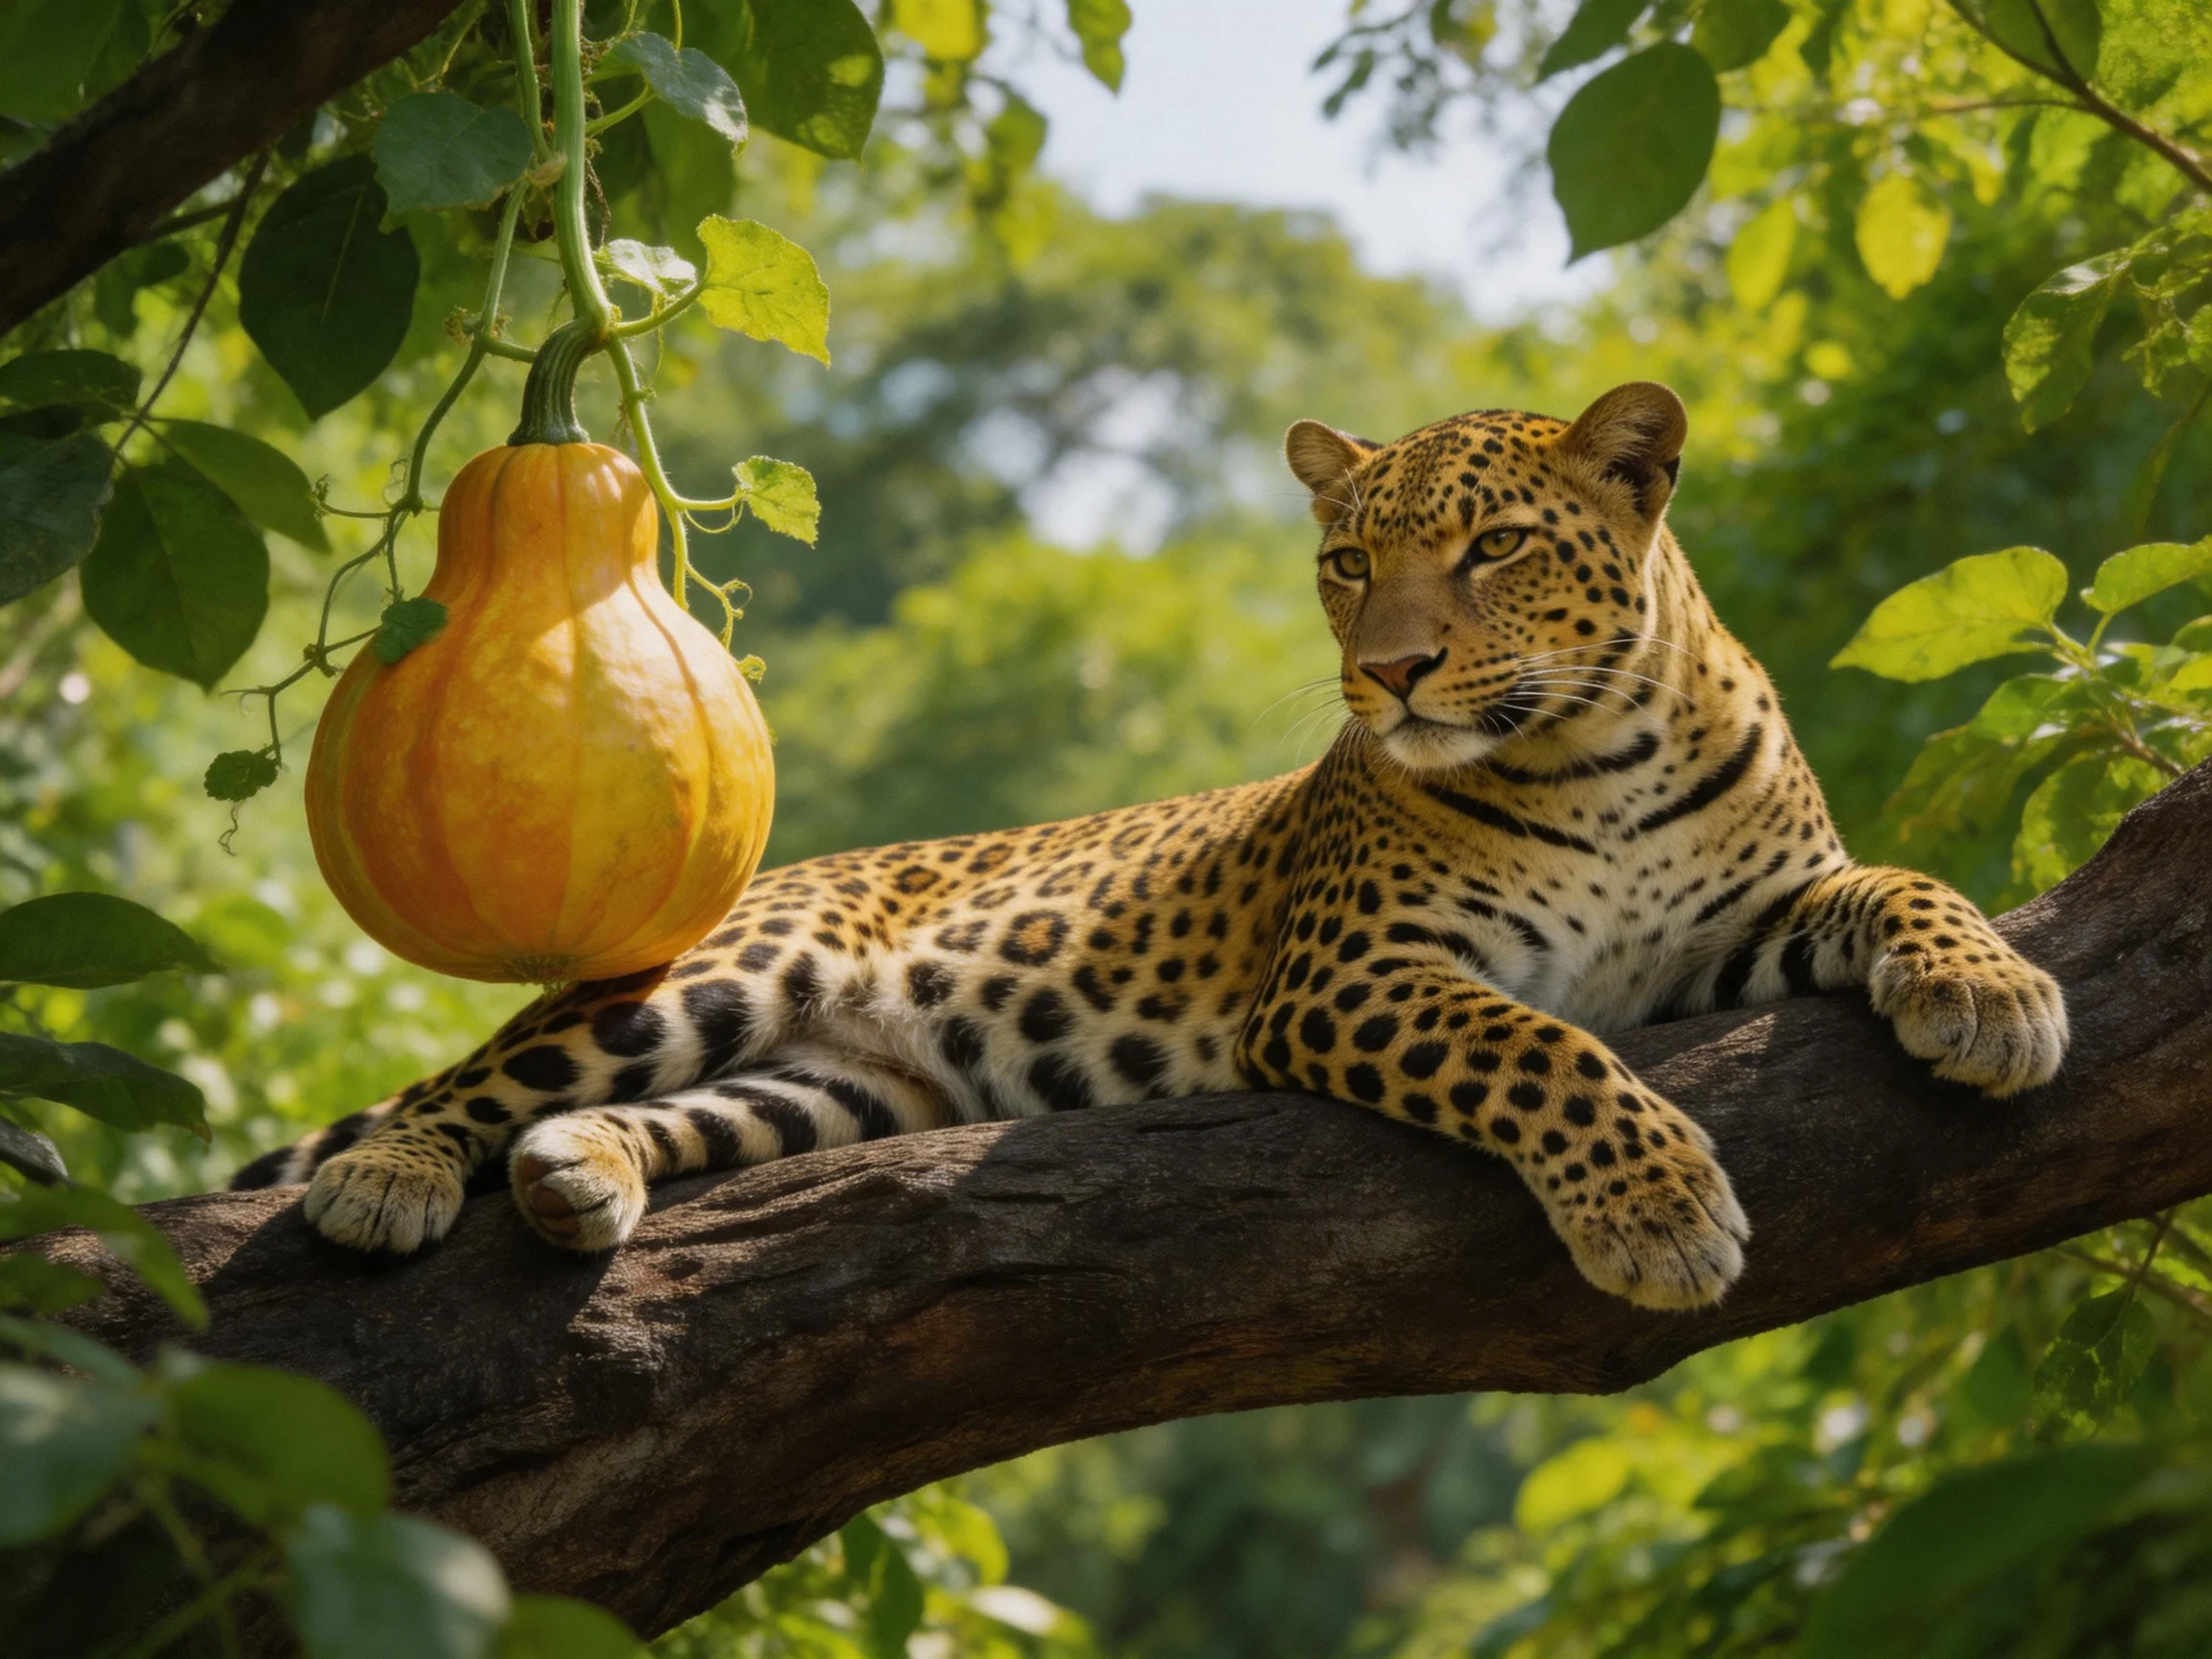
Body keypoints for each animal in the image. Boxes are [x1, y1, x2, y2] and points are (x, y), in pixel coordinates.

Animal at [233, 381, 2070, 1310]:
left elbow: (1899, 880)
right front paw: (1657, 1208)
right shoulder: (1353, 977)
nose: (1390, 673)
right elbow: (1538, 1048)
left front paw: (1994, 994)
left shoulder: (1735, 929)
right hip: (716, 967)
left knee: (674, 1119)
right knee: (471, 1082)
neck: (1590, 750)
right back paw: (391, 1182)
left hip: (845, 1088)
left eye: (1489, 549)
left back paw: (579, 1180)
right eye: (1346, 562)